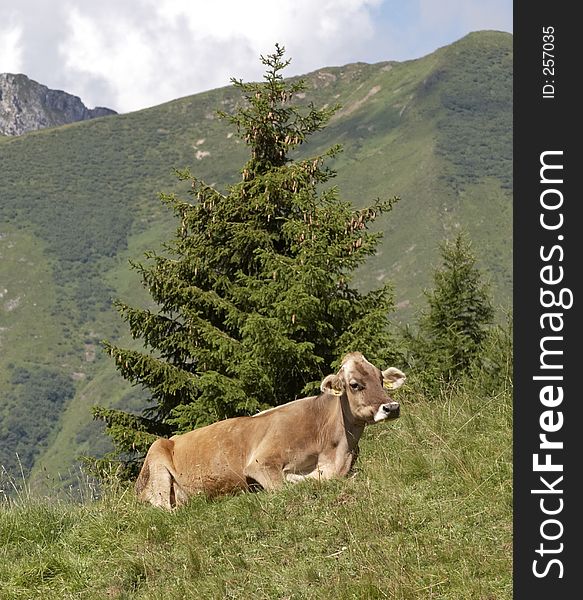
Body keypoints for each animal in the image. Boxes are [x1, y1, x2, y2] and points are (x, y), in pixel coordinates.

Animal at [136, 352, 406, 510]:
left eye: (380, 379)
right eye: (354, 384)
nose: (391, 407)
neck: (336, 449)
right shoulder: (261, 463)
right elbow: (285, 486)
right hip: (157, 463)